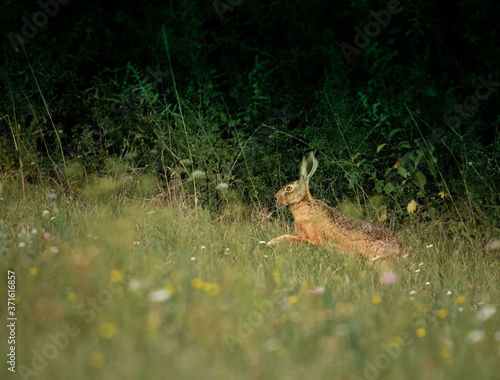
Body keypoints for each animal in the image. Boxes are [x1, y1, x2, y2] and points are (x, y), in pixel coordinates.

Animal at [268, 151, 404, 258]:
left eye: (289, 188)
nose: (275, 197)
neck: (303, 202)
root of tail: (400, 249)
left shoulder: (311, 238)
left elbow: (290, 238)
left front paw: (271, 244)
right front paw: (270, 242)